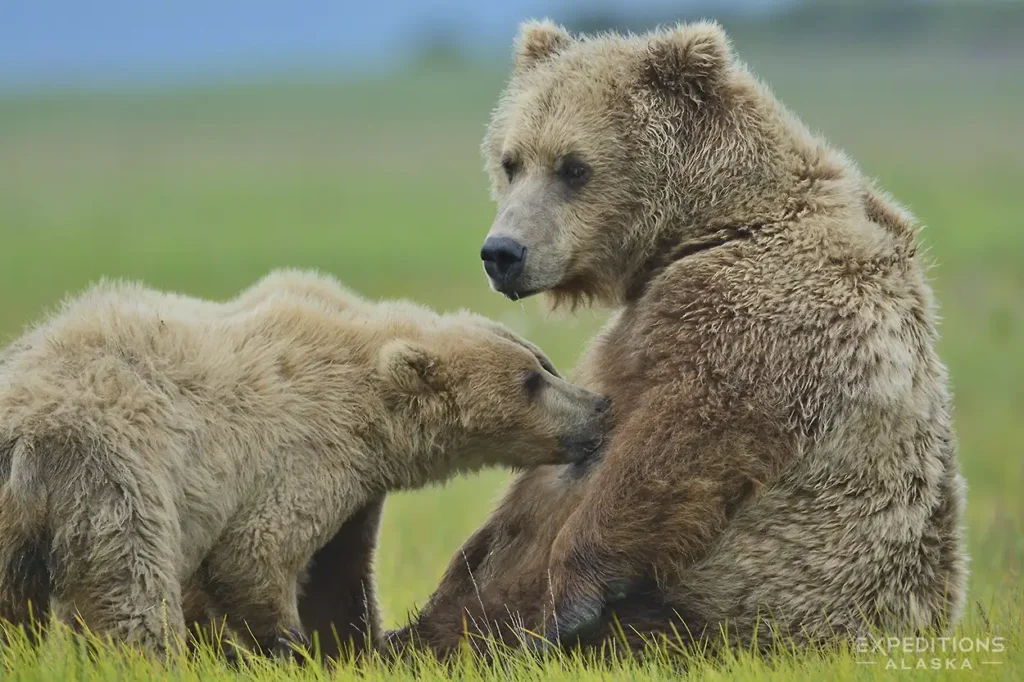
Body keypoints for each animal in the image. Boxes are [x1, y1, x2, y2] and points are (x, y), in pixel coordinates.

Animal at [0, 270, 612, 657]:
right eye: (531, 381)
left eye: (543, 364)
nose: (599, 408)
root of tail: (24, 427)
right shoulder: (302, 450)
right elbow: (253, 554)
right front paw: (286, 646)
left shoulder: (357, 489)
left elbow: (339, 574)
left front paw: (354, 644)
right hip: (109, 476)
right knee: (131, 593)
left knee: (14, 608)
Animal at [384, 20, 967, 656]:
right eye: (511, 161)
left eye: (573, 166)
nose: (503, 253)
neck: (715, 222)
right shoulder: (645, 320)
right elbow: (534, 491)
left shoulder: (759, 311)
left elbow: (677, 441)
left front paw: (568, 602)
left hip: (748, 612)